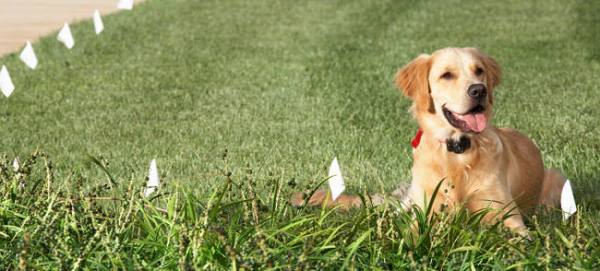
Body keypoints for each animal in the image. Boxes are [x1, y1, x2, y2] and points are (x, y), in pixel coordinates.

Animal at [294, 47, 568, 237]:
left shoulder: (506, 214)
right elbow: (411, 233)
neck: (456, 151)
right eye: (447, 75)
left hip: (556, 178)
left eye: (479, 71)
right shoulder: (427, 211)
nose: (479, 90)